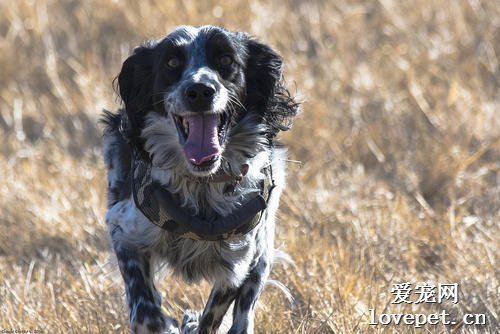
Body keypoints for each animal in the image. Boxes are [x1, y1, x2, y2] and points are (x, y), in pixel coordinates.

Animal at [100, 24, 296, 332]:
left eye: (226, 60)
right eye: (171, 63)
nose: (200, 90)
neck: (200, 185)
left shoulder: (239, 263)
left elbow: (212, 316)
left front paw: (192, 323)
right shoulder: (124, 230)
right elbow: (145, 311)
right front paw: (166, 324)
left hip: (262, 255)